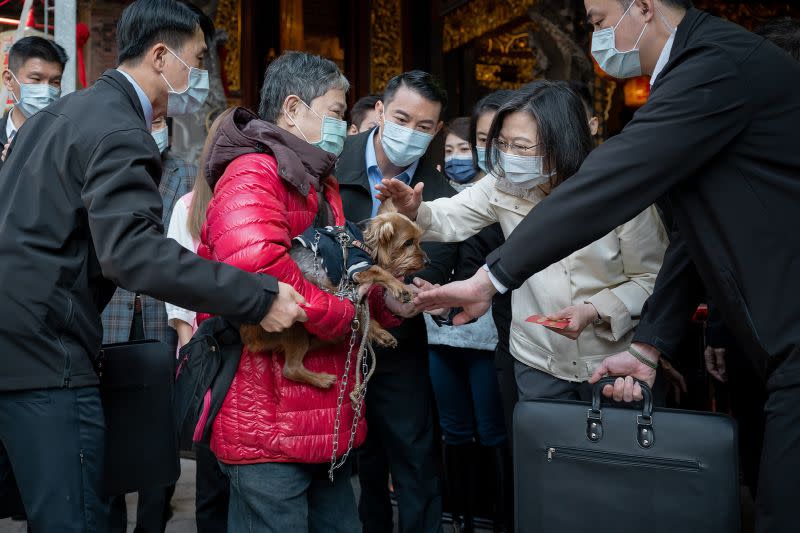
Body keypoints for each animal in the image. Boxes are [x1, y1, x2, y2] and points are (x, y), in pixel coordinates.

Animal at [238, 210, 428, 388]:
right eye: (408, 242)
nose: (427, 261)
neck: (363, 239)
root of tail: (248, 337)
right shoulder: (357, 268)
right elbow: (380, 271)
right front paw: (401, 288)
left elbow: (364, 312)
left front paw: (378, 332)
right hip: (294, 322)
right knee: (291, 369)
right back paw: (322, 379)